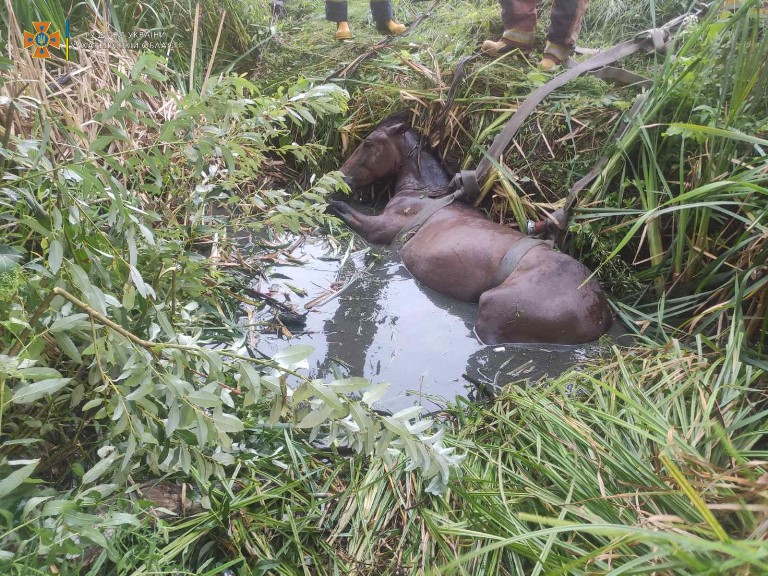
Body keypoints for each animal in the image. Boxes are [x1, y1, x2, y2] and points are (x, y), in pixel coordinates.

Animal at [328, 120, 616, 344]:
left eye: (368, 143)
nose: (339, 176)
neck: (424, 194)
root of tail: (600, 316)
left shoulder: (379, 229)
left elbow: (339, 208)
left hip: (493, 310)